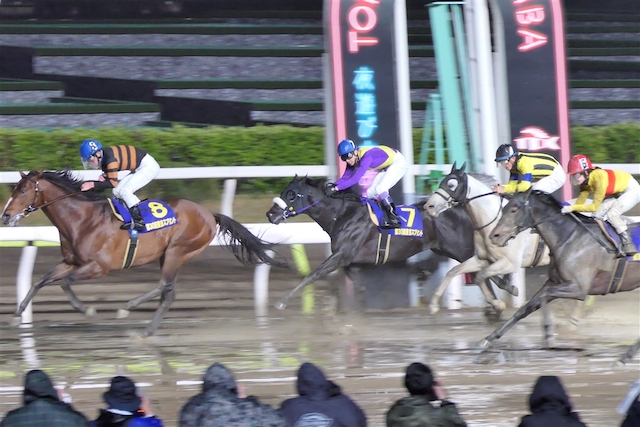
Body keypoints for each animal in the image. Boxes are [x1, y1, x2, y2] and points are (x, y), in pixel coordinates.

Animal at [1, 171, 288, 338]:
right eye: (14, 189)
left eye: (23, 190)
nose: (5, 216)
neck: (82, 219)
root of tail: (209, 213)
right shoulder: (71, 262)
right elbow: (41, 281)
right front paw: (16, 317)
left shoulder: (98, 267)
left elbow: (65, 283)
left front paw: (87, 309)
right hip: (170, 254)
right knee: (169, 292)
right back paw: (148, 329)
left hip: (177, 251)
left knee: (164, 285)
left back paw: (127, 309)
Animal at [264, 176, 510, 312]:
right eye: (284, 191)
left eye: (292, 194)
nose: (270, 213)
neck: (342, 214)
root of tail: (461, 208)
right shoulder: (351, 263)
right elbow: (355, 288)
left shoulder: (341, 255)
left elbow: (312, 275)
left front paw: (282, 303)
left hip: (460, 248)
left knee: (486, 270)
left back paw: (502, 294)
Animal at [424, 164, 552, 318]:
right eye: (441, 182)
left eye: (451, 185)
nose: (428, 206)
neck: (491, 221)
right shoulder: (483, 259)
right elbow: (454, 271)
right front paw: (433, 305)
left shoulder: (509, 263)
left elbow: (481, 277)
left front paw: (498, 303)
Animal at [488, 191, 636, 364]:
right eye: (503, 208)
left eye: (514, 209)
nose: (494, 236)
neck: (569, 237)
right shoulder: (553, 282)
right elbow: (524, 309)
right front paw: (488, 339)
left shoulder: (578, 289)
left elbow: (544, 297)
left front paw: (549, 334)